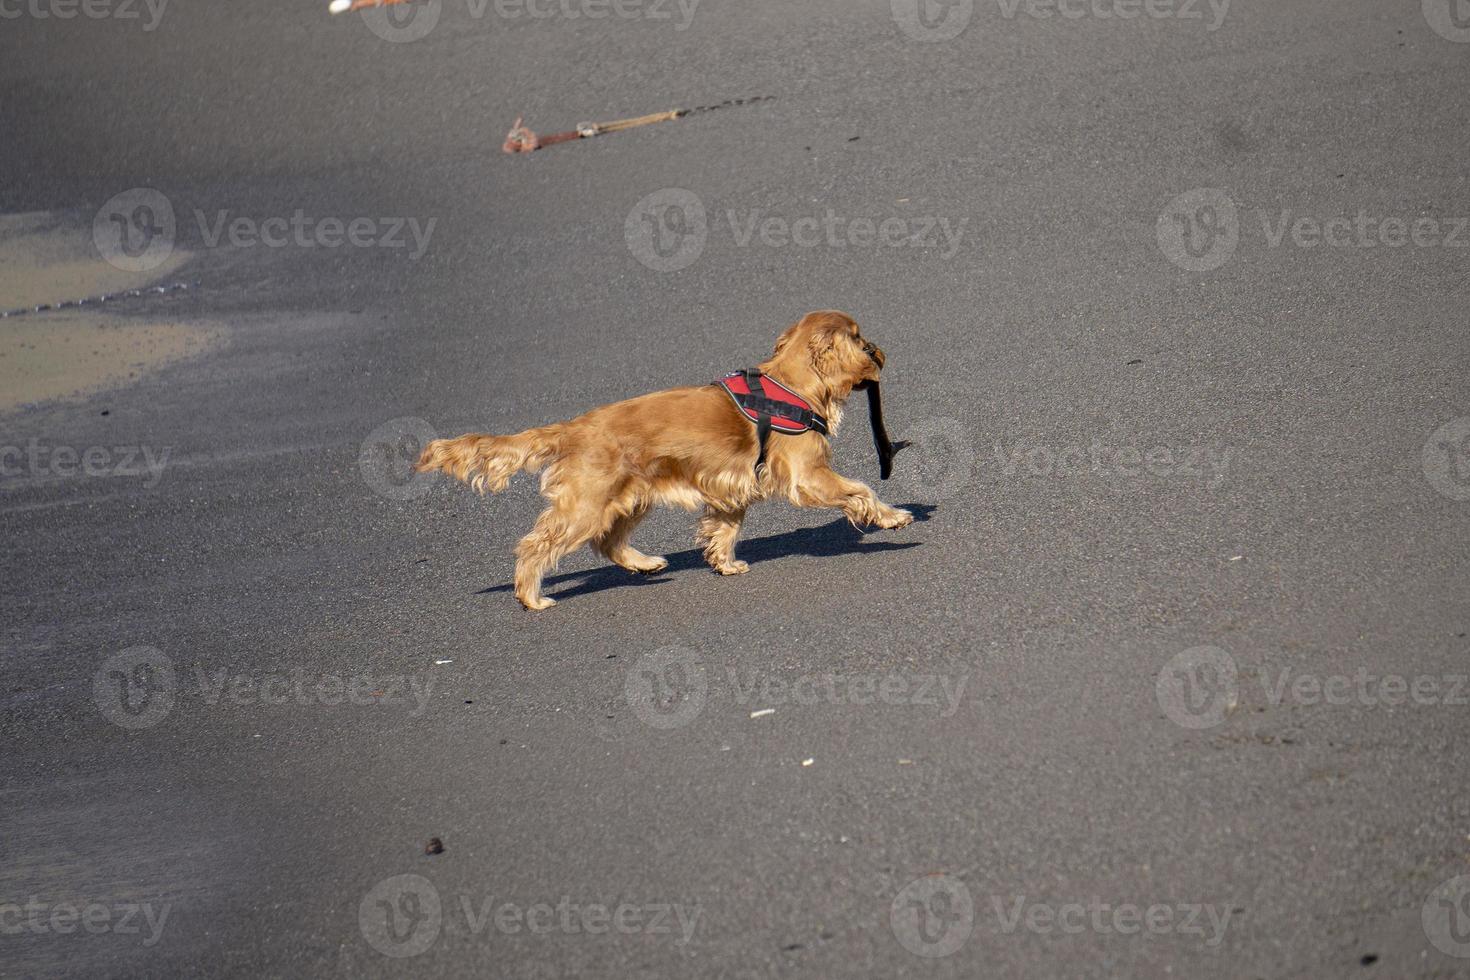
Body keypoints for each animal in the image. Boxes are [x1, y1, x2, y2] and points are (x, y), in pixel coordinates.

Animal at [414, 310, 911, 608]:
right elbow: (861, 489)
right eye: (861, 340)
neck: (790, 384)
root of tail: (573, 427)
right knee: (537, 545)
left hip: (629, 498)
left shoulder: (731, 487)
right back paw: (531, 596)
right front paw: (893, 518)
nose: (881, 350)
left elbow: (724, 529)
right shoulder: (808, 475)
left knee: (608, 542)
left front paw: (724, 563)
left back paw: (644, 563)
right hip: (587, 505)